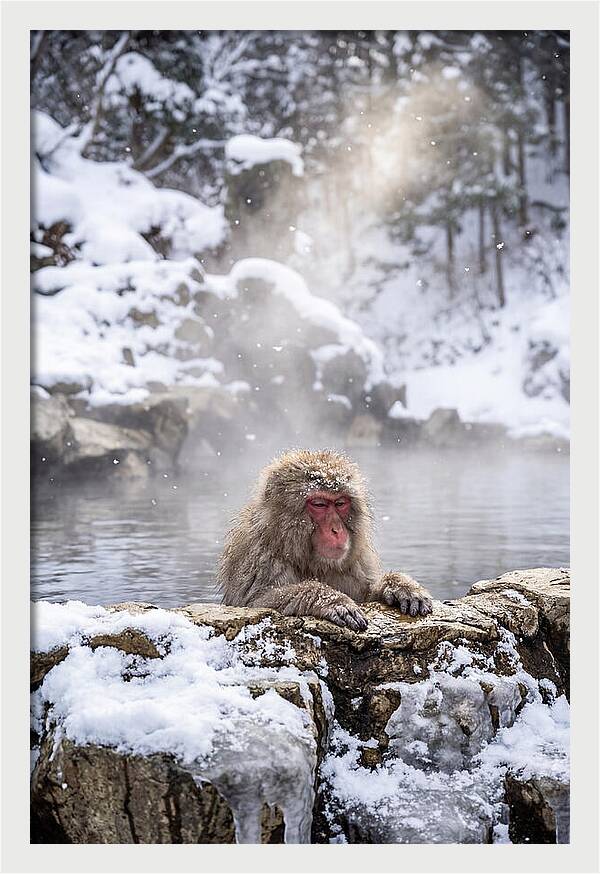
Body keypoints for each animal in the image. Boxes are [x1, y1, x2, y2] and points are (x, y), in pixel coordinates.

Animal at [218, 448, 433, 631]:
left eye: (340, 503)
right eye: (319, 504)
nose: (336, 530)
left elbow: (366, 594)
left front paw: (399, 586)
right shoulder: (258, 556)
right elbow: (256, 602)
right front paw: (331, 600)